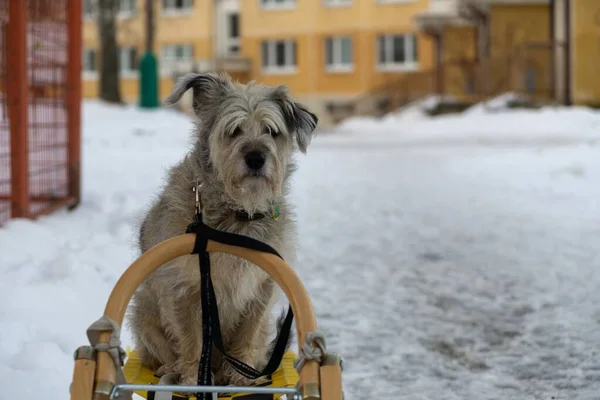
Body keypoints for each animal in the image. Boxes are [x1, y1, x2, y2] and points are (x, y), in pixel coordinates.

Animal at [127, 72, 318, 388]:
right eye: (234, 130)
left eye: (271, 131)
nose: (256, 158)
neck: (237, 215)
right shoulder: (185, 289)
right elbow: (192, 340)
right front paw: (193, 380)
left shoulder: (261, 288)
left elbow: (247, 335)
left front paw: (242, 379)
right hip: (142, 307)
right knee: (159, 350)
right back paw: (170, 369)